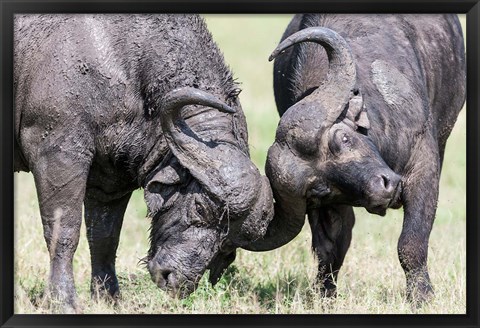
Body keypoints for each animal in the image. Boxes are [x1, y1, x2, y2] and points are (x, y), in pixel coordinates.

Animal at [13, 14, 272, 312]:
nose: (175, 280)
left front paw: (109, 298)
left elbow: (104, 239)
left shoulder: (109, 183)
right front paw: (63, 301)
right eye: (200, 207)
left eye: (228, 245)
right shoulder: (58, 154)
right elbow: (63, 232)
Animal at [244, 14, 464, 304]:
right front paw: (325, 295)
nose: (383, 189)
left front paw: (422, 297)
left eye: (344, 138)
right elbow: (329, 248)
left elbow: (411, 242)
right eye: (320, 189)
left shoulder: (423, 165)